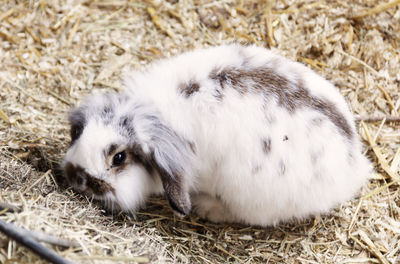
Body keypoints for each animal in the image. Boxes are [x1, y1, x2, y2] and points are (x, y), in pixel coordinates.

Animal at [62, 44, 372, 226]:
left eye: (119, 158)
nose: (77, 177)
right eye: (79, 132)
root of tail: (353, 164)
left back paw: (207, 207)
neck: (153, 115)